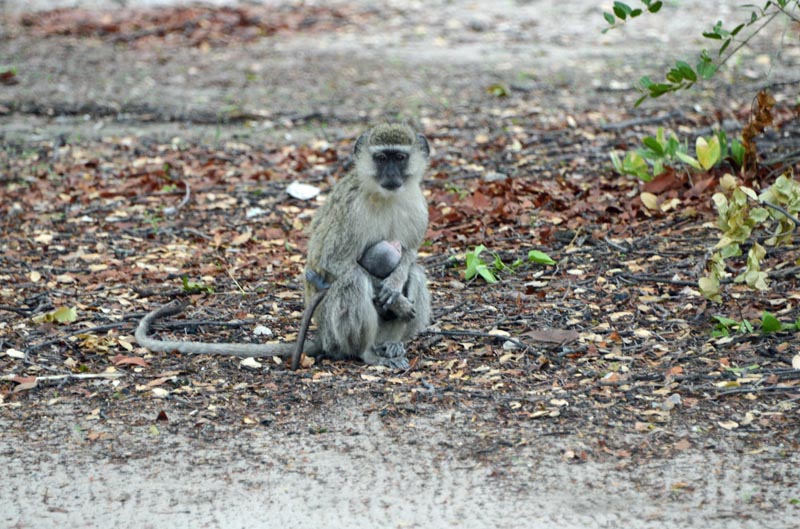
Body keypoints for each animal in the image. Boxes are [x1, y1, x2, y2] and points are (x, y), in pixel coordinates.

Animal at [135, 123, 431, 370]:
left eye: (399, 158)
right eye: (381, 158)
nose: (391, 174)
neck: (385, 196)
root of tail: (323, 337)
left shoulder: (418, 206)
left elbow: (409, 255)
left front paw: (395, 284)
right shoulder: (350, 207)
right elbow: (334, 262)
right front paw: (394, 297)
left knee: (415, 272)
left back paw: (390, 344)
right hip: (333, 332)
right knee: (353, 280)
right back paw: (366, 352)